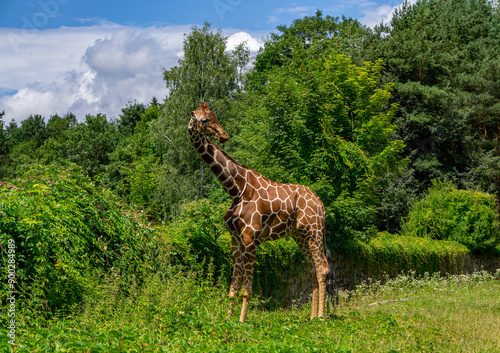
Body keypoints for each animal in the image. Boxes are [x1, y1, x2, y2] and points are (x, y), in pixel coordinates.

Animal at [188, 101, 332, 322]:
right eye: (204, 119)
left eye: (214, 117)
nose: (224, 136)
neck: (236, 189)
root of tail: (321, 203)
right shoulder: (236, 240)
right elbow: (233, 287)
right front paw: (228, 319)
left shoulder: (250, 238)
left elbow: (246, 290)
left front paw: (241, 321)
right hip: (301, 235)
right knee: (313, 270)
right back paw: (311, 317)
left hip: (314, 231)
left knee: (323, 268)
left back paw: (321, 318)